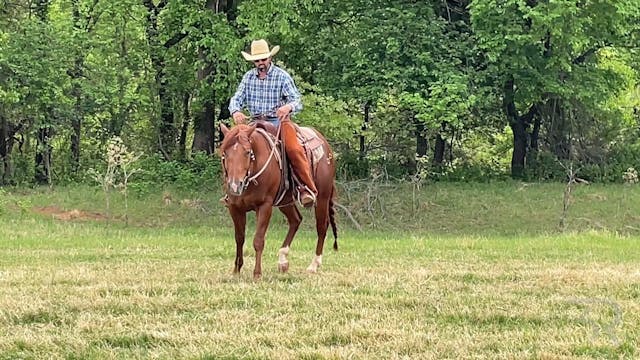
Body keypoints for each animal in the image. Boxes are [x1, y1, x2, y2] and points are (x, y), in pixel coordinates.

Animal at [219, 121, 338, 278]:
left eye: (247, 152)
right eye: (225, 153)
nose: (234, 185)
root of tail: (324, 143)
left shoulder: (264, 206)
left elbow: (258, 240)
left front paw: (257, 273)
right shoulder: (234, 207)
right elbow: (239, 238)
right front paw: (236, 271)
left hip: (323, 197)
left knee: (322, 227)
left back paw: (314, 265)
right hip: (285, 202)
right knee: (296, 220)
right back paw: (283, 260)